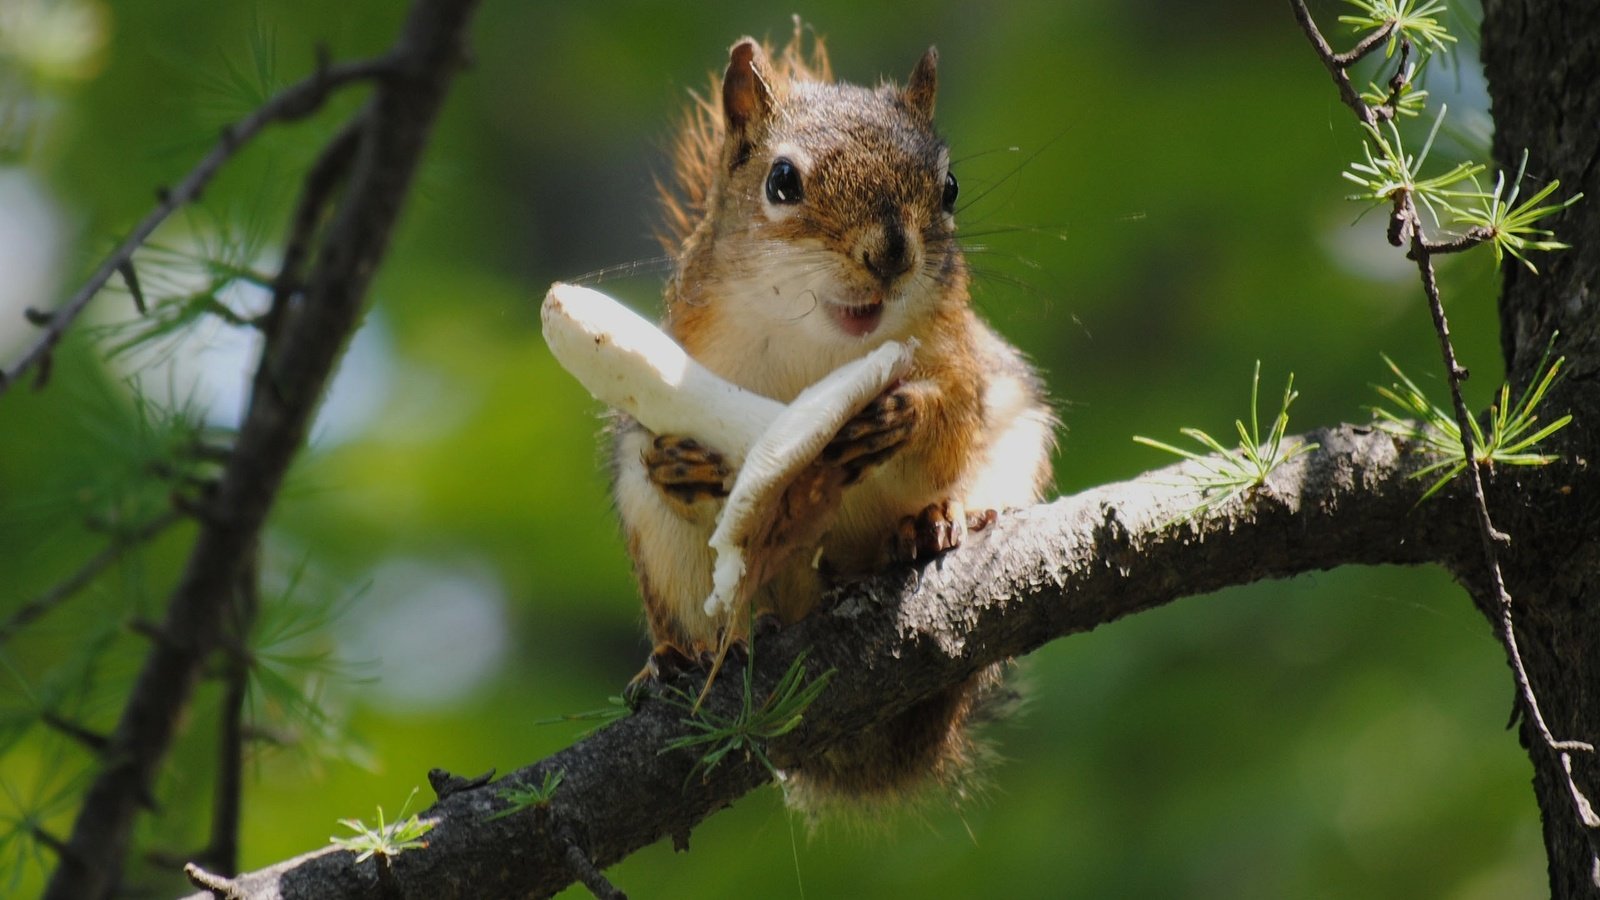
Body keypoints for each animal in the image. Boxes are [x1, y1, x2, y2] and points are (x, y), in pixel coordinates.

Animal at [604, 24, 1056, 810]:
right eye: (782, 182)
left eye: (950, 188)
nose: (892, 253)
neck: (823, 347)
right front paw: (682, 464)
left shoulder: (962, 358)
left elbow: (952, 418)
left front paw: (910, 414)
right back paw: (679, 659)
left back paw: (936, 523)